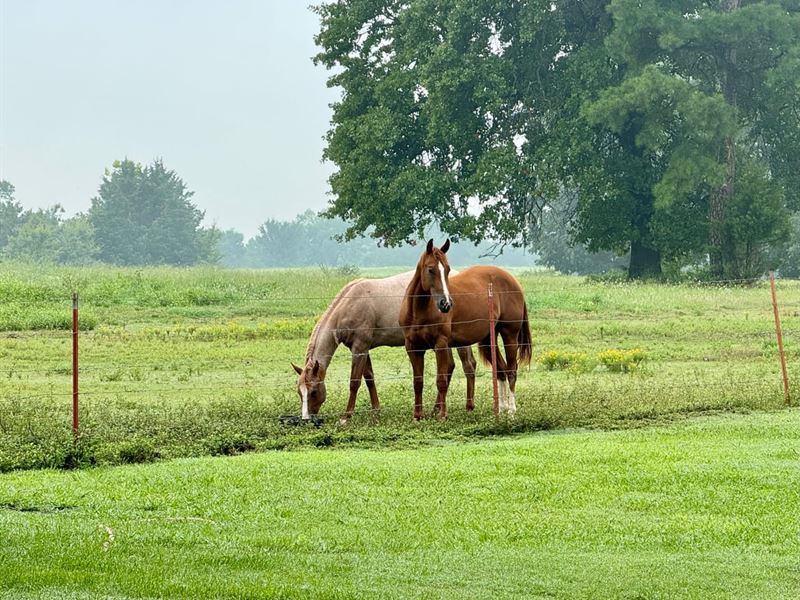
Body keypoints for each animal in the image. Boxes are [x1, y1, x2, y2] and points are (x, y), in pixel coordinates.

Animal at [292, 270, 476, 422]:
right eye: (300, 392)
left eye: (314, 391)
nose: (306, 419)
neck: (350, 304)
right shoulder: (363, 348)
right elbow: (369, 378)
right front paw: (376, 411)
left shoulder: (359, 347)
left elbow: (354, 382)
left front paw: (346, 416)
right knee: (450, 366)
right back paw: (436, 409)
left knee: (468, 366)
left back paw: (468, 408)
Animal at [400, 238, 532, 418]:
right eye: (430, 269)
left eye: (447, 269)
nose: (446, 304)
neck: (419, 311)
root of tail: (514, 282)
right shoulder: (413, 348)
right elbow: (418, 382)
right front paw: (418, 416)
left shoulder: (441, 345)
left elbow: (441, 380)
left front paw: (442, 415)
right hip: (488, 340)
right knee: (502, 370)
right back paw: (501, 409)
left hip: (509, 335)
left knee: (512, 370)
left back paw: (511, 411)